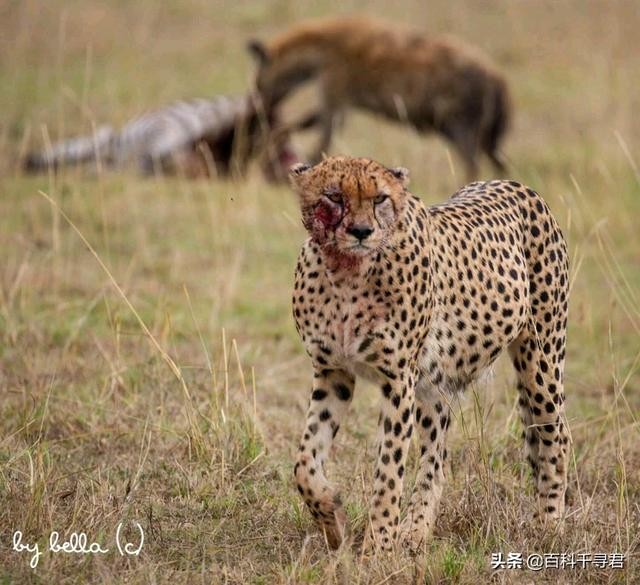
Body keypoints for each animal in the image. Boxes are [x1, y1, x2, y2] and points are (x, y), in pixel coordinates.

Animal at [290, 157, 568, 548]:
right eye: (334, 196)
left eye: (379, 198)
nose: (361, 231)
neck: (347, 271)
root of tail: (513, 183)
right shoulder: (333, 372)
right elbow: (304, 462)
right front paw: (333, 518)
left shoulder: (397, 380)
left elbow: (388, 472)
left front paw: (377, 547)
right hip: (434, 385)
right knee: (438, 459)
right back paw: (416, 529)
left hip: (540, 361)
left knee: (556, 437)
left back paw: (549, 524)